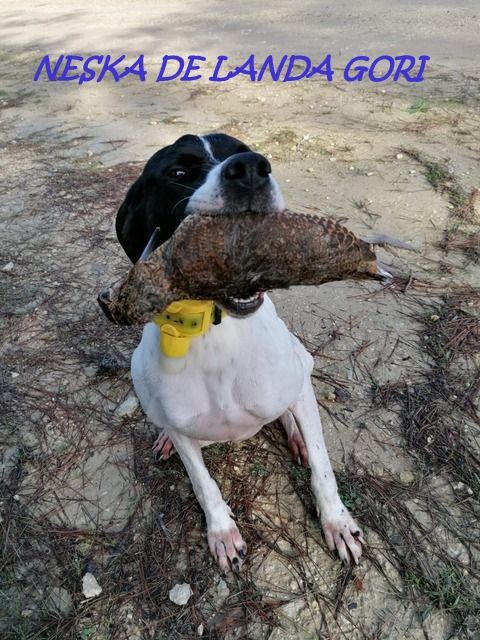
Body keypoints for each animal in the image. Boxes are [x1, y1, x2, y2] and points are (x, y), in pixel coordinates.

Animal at [115, 132, 364, 572]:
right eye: (178, 173)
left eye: (244, 151)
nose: (250, 169)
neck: (215, 331)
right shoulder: (181, 426)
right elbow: (203, 483)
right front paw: (222, 533)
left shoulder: (297, 388)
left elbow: (323, 467)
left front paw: (337, 523)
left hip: (302, 361)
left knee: (295, 417)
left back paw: (296, 437)